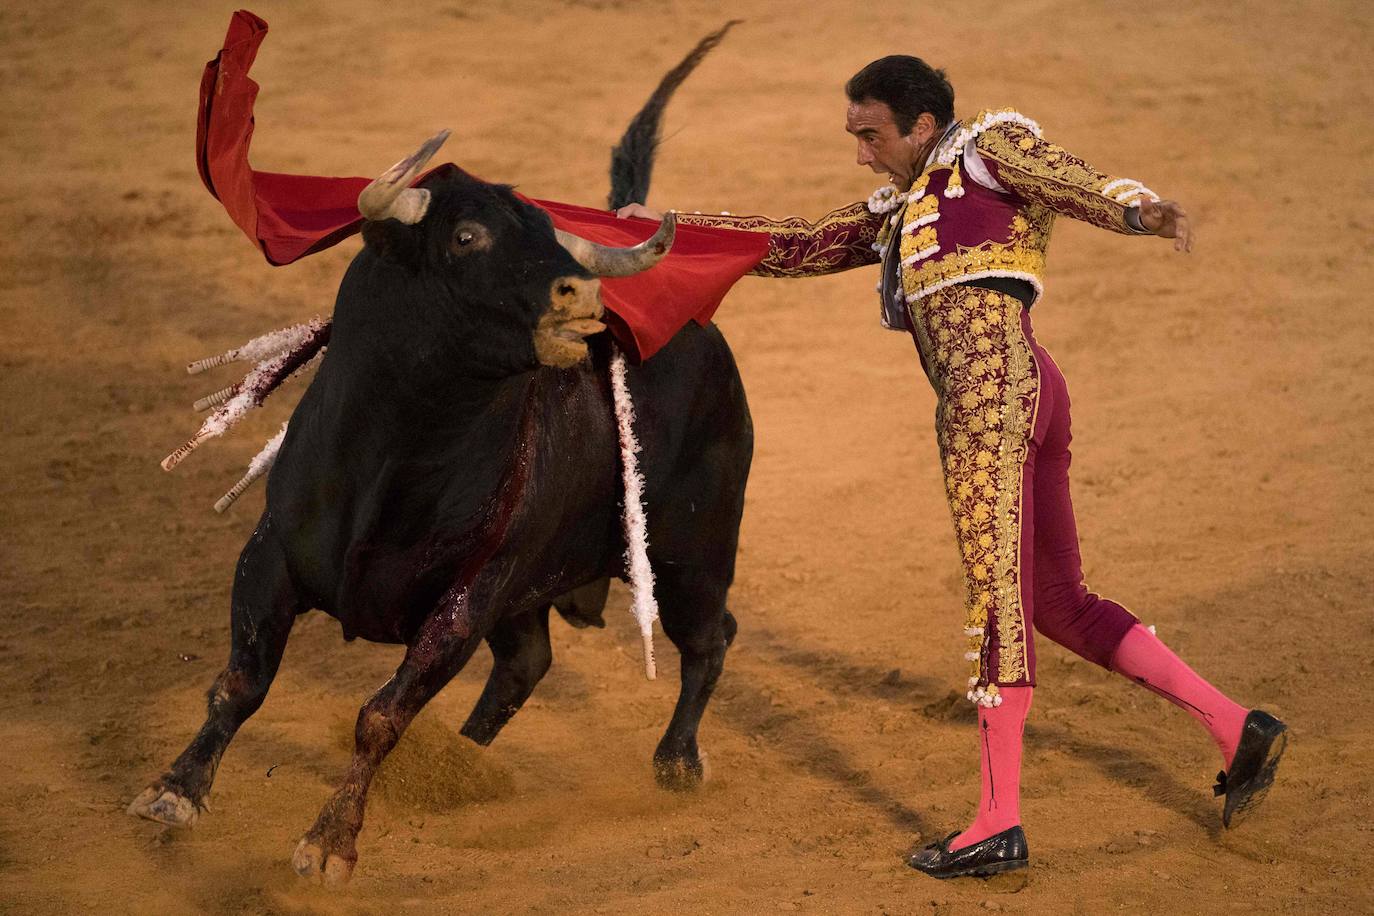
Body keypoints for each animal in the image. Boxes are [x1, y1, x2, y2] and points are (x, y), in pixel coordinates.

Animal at [129, 30, 752, 889]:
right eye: (466, 237)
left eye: (548, 240)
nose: (585, 295)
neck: (399, 447)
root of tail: (701, 334)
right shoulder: (271, 554)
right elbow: (240, 682)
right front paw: (174, 790)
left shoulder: (467, 596)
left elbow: (381, 714)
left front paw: (329, 842)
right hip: (540, 587)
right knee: (527, 664)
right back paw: (459, 766)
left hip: (692, 553)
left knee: (709, 637)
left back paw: (677, 762)